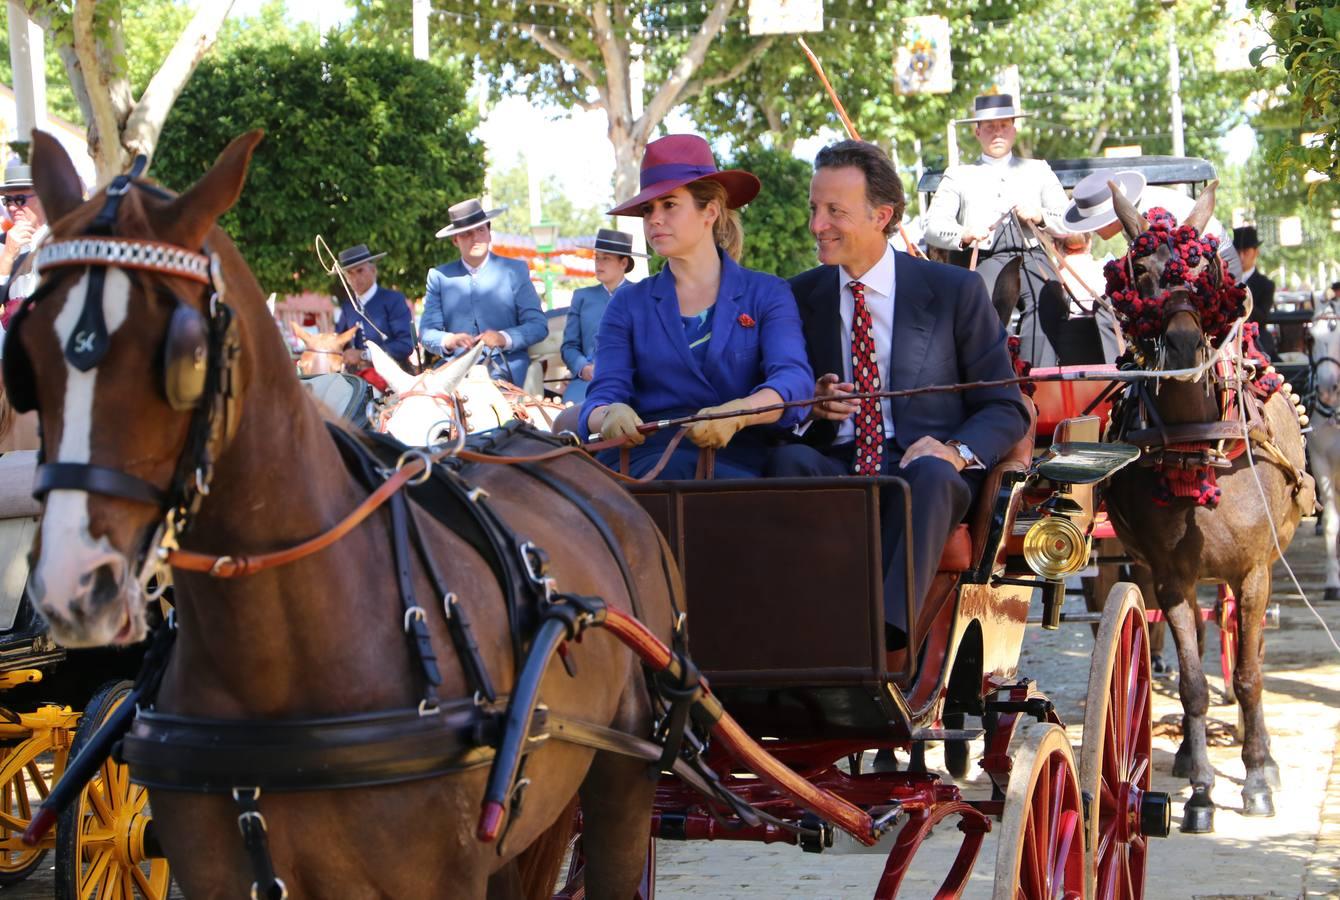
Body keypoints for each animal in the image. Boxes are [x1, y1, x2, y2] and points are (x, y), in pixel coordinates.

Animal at [1098, 179, 1318, 835]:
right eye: (1141, 272)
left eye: (1203, 270)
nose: (1183, 342)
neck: (1199, 442)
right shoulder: (1171, 575)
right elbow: (1195, 682)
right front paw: (1199, 791)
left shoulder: (1253, 571)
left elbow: (1245, 675)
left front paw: (1257, 778)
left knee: (1249, 652)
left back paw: (1261, 755)